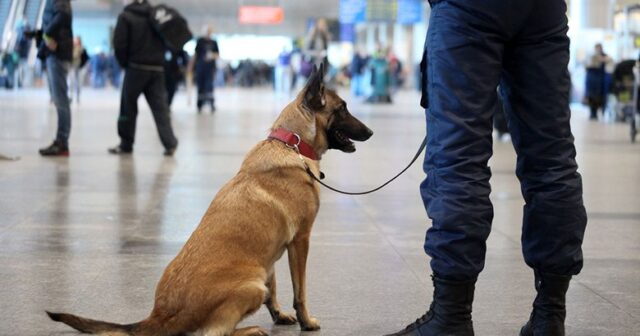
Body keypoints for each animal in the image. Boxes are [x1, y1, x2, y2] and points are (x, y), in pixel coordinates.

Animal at [47, 63, 372, 336]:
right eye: (343, 109)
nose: (370, 131)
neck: (292, 144)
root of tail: (160, 315)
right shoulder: (301, 241)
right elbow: (299, 291)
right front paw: (307, 321)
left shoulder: (270, 256)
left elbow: (276, 287)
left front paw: (279, 315)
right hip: (252, 284)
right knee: (215, 333)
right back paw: (252, 331)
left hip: (256, 276)